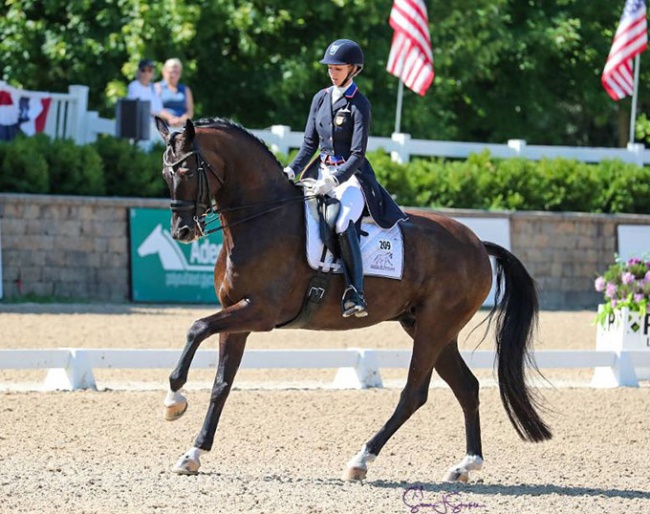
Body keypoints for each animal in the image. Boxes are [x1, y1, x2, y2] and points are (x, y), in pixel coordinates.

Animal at [154, 116, 548, 480]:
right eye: (164, 172)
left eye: (186, 169)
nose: (182, 231)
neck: (261, 218)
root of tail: (478, 244)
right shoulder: (236, 315)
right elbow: (221, 383)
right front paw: (193, 453)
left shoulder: (261, 312)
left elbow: (195, 328)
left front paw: (174, 400)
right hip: (428, 327)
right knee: (466, 387)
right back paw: (466, 465)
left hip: (434, 327)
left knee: (414, 393)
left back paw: (361, 460)